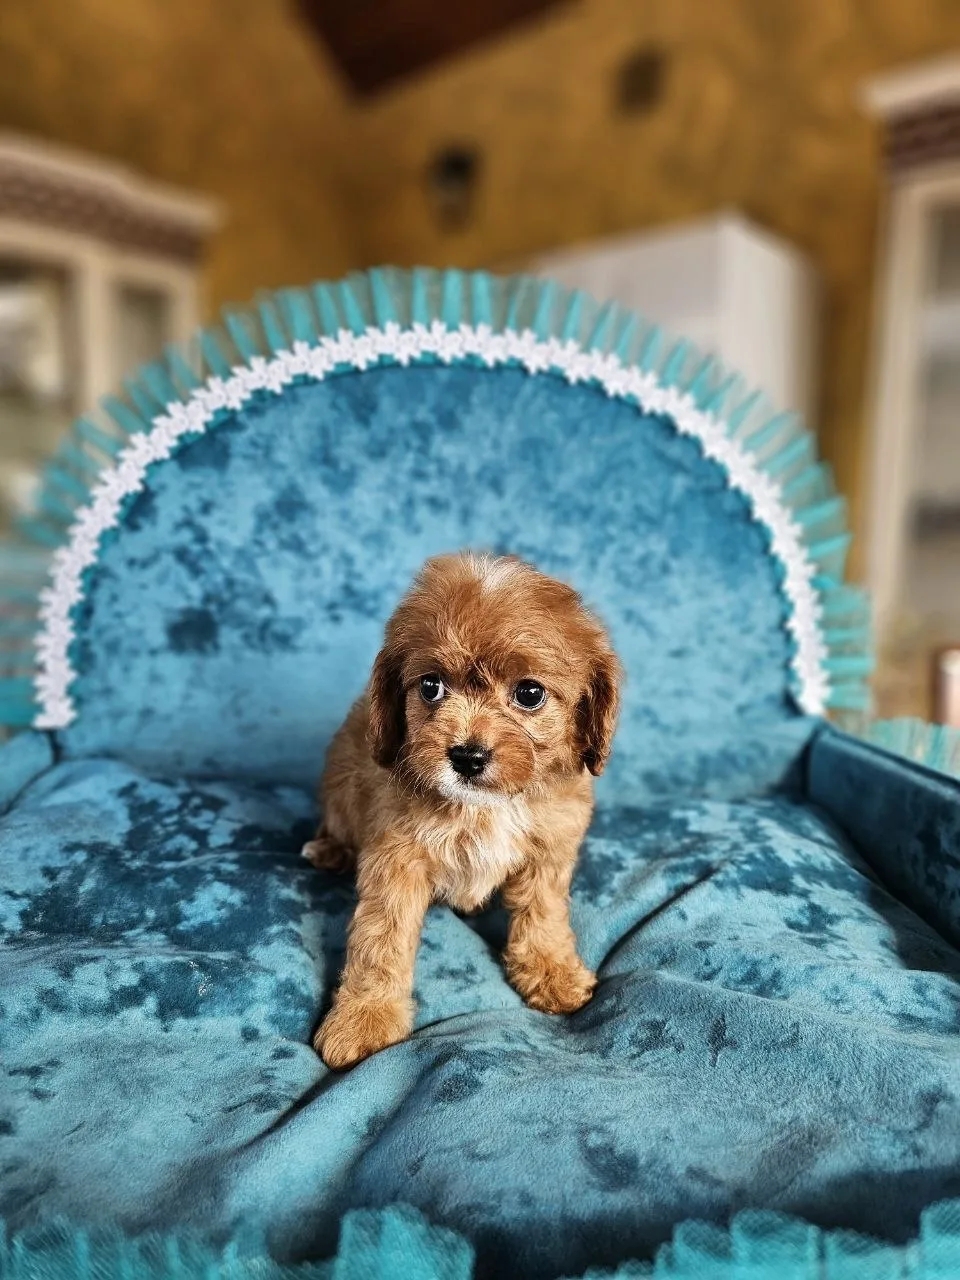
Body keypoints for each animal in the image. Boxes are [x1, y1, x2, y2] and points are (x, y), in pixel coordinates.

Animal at [303, 551, 621, 1070]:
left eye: (529, 693)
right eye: (431, 687)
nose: (467, 756)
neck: (485, 807)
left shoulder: (551, 845)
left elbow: (544, 912)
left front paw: (551, 970)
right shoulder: (395, 856)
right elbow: (381, 937)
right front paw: (365, 1015)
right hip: (341, 787)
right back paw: (328, 850)